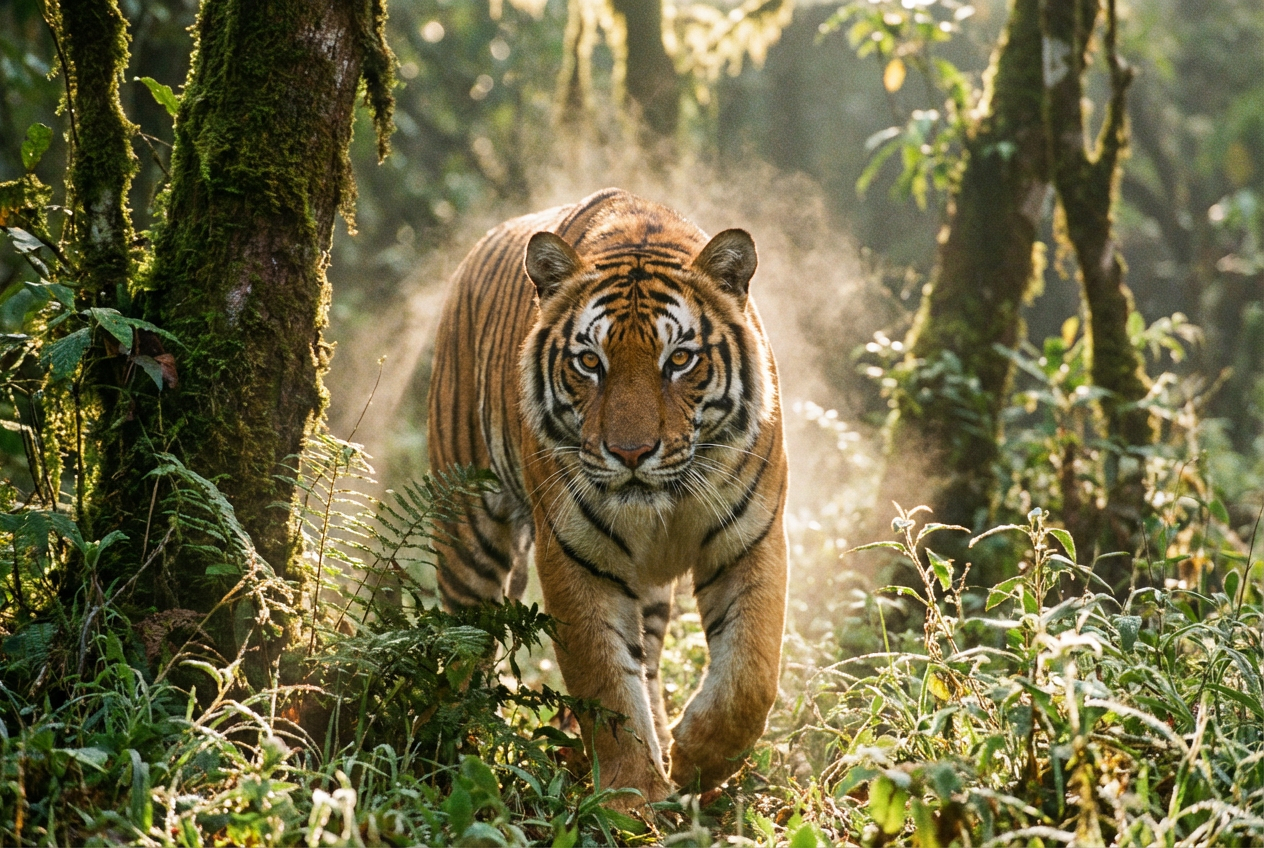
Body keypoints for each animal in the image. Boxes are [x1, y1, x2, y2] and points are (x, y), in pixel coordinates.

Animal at [427, 187, 788, 804]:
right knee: (466, 646)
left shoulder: (751, 540)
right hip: (468, 530)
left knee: (651, 660)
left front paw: (695, 761)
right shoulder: (577, 557)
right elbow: (606, 685)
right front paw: (637, 796)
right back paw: (459, 746)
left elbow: (751, 675)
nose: (631, 452)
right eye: (590, 362)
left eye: (680, 359)